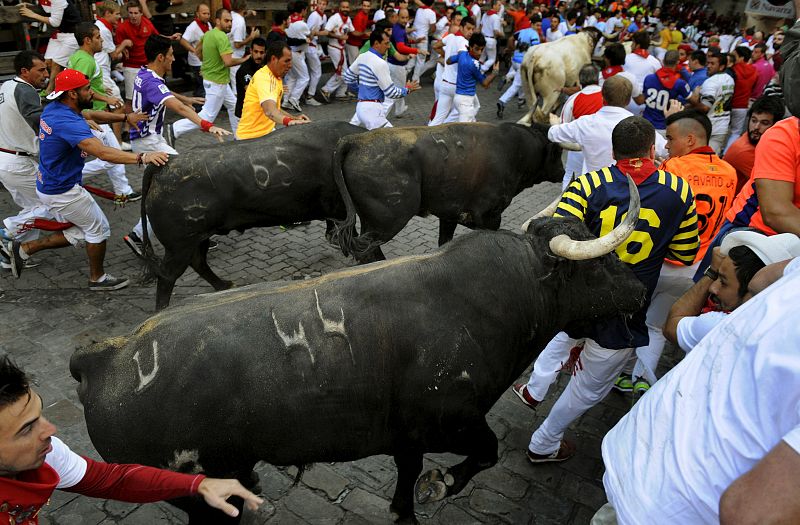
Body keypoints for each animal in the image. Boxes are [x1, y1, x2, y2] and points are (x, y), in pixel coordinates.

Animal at [67, 220, 644, 524]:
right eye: (597, 264)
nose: (640, 289)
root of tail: (105, 355)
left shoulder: (408, 433)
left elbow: (409, 471)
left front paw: (405, 509)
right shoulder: (454, 419)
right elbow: (484, 455)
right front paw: (440, 486)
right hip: (198, 494)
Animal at [139, 122, 364, 312]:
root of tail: (166, 163)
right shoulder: (343, 212)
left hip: (198, 239)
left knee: (198, 262)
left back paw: (224, 284)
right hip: (180, 247)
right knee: (168, 275)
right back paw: (163, 310)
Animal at [332, 122, 564, 262]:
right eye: (557, 153)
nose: (562, 172)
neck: (514, 150)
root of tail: (354, 141)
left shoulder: (449, 213)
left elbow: (445, 240)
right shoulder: (489, 215)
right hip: (386, 222)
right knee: (367, 251)